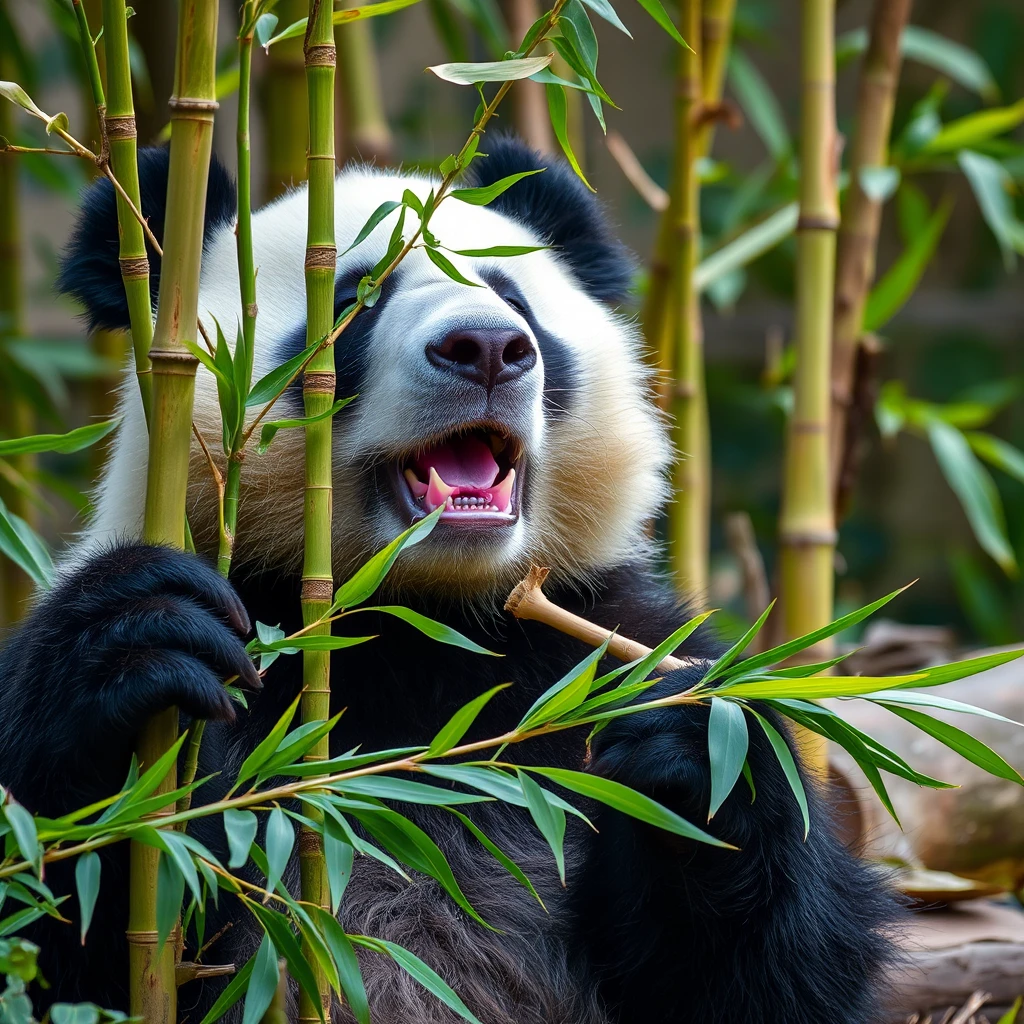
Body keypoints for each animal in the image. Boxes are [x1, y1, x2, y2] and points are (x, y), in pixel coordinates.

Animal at [0, 137, 896, 1023]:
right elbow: (61, 912)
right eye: (354, 301)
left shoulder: (597, 635)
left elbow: (775, 973)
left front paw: (701, 744)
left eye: (512, 296)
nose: (488, 346)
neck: (430, 614)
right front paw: (132, 636)